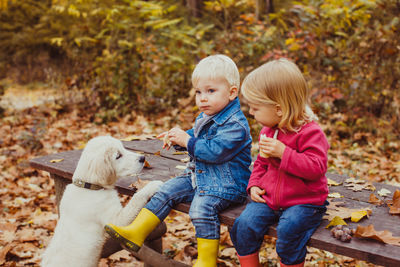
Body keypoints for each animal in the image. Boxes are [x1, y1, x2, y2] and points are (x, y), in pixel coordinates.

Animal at [41, 137, 162, 266]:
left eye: (123, 148)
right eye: (118, 156)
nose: (143, 158)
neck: (88, 186)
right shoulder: (116, 221)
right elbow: (136, 198)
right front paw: (152, 185)